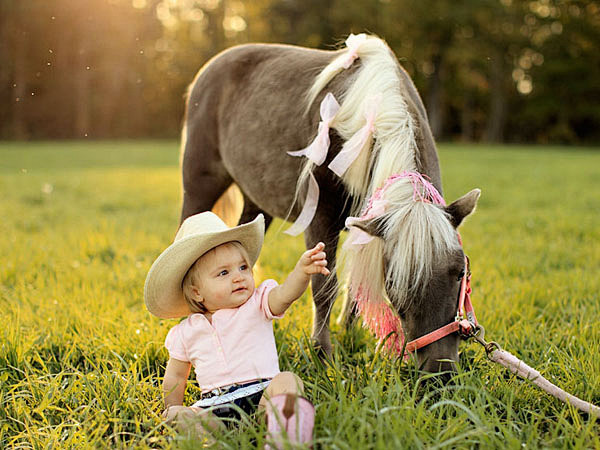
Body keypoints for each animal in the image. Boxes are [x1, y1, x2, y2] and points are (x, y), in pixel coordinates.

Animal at [180, 33, 480, 370]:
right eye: (396, 281)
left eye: (460, 272)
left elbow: (356, 285)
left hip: (256, 203)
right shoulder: (319, 218)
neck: (370, 117)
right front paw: (322, 354)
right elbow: (324, 287)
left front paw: (348, 333)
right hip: (200, 186)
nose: (440, 372)